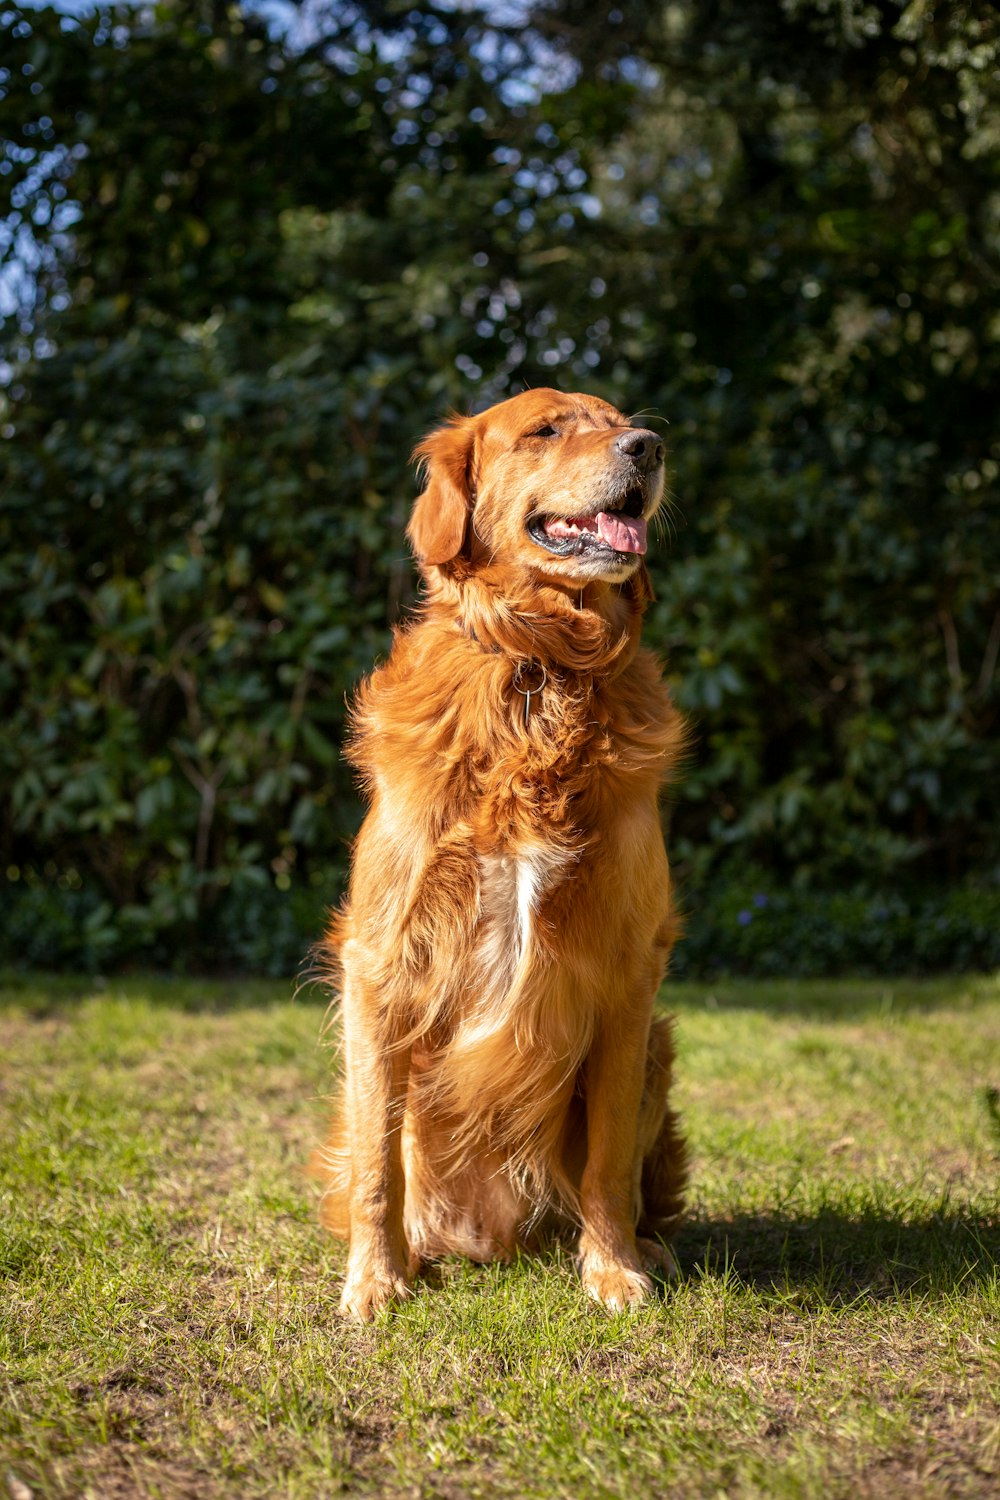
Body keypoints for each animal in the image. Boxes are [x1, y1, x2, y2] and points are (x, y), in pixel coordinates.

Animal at [313, 390, 689, 1326]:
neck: (541, 666)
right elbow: (377, 1165)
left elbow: (608, 1163)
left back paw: (647, 1247)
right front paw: (374, 1281)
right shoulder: (380, 962)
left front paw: (613, 1272)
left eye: (621, 419)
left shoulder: (630, 974)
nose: (649, 446)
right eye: (546, 429)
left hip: (658, 1049)